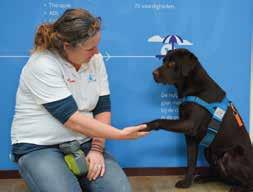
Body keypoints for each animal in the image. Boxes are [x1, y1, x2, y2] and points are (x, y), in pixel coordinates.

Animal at [145, 48, 253, 192]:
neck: (194, 87)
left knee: (247, 182)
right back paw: (204, 178)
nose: (153, 73)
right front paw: (186, 183)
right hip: (209, 150)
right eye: (164, 61)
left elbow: (163, 121)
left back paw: (238, 188)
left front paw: (148, 125)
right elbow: (191, 162)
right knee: (220, 175)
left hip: (229, 156)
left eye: (172, 63)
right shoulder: (190, 138)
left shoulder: (189, 125)